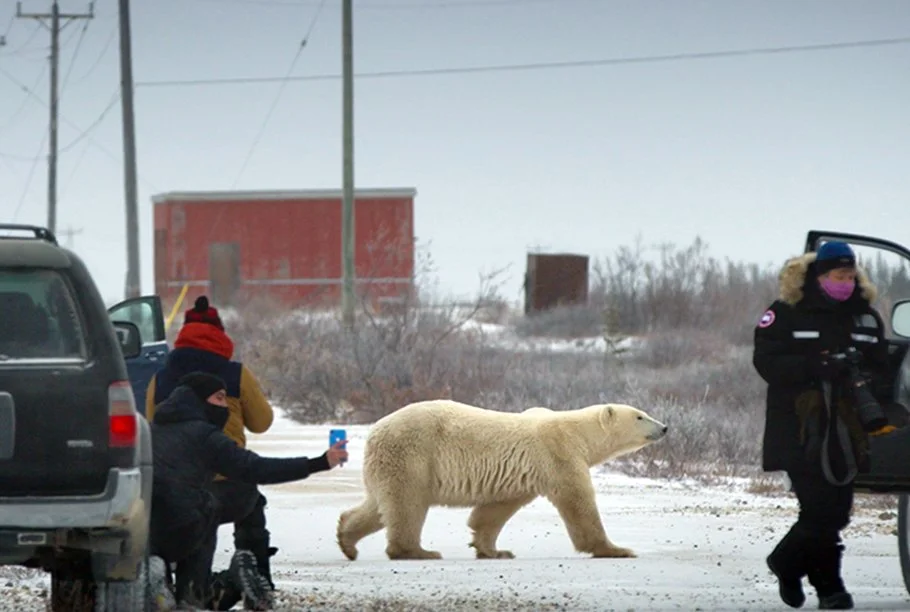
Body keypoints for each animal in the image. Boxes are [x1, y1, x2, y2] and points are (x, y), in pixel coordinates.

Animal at [336, 399, 667, 561]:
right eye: (640, 416)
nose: (664, 427)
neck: (577, 432)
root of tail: (375, 431)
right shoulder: (559, 456)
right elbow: (578, 503)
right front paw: (617, 549)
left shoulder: (522, 474)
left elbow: (495, 509)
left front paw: (494, 551)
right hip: (412, 454)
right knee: (407, 504)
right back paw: (417, 551)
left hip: (387, 464)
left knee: (378, 506)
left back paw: (347, 541)